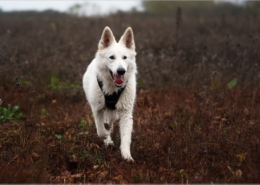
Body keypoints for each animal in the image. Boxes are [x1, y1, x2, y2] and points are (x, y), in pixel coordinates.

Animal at [82, 26, 137, 161]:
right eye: (111, 57)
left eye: (125, 57)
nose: (121, 71)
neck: (112, 89)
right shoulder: (97, 109)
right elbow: (101, 130)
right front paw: (107, 137)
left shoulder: (125, 112)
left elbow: (126, 137)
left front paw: (126, 156)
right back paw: (108, 140)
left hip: (114, 113)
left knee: (110, 121)